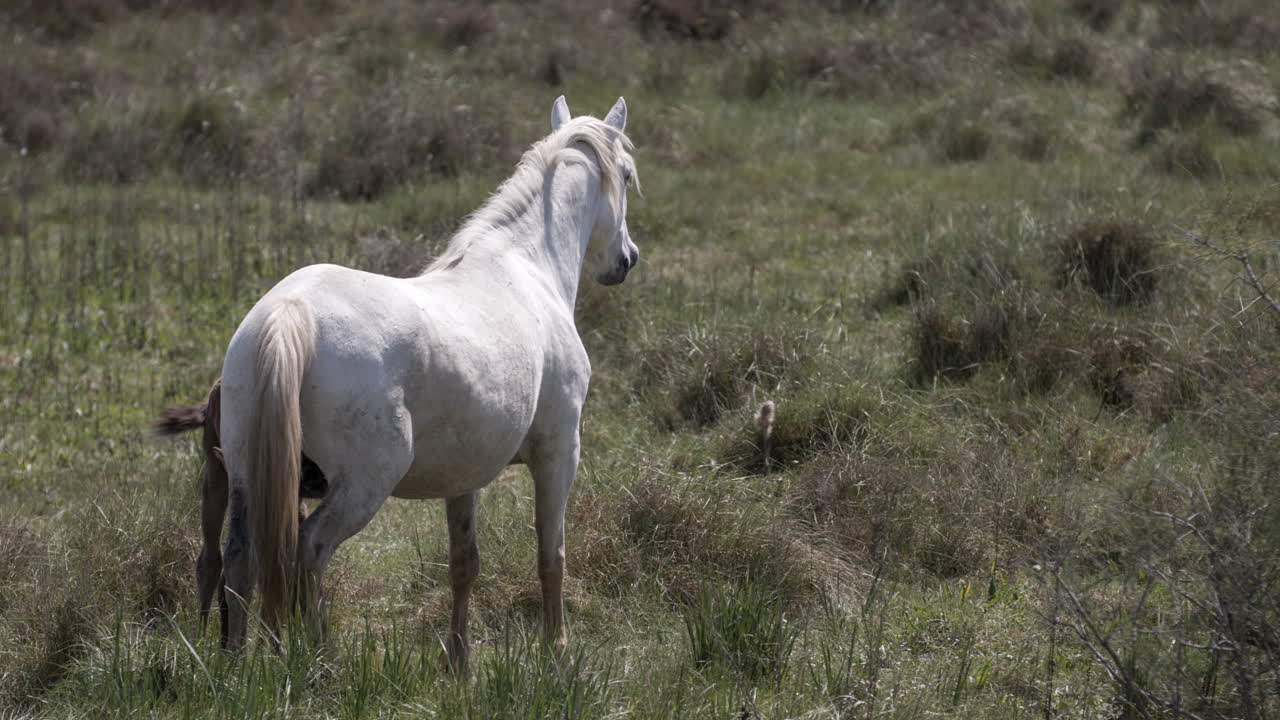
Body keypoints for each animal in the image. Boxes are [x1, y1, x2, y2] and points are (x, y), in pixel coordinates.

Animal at [217, 95, 639, 668]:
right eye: (627, 174)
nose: (627, 259)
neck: (527, 268)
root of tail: (290, 311)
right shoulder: (559, 453)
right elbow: (551, 555)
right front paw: (557, 650)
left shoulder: (464, 478)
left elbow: (464, 564)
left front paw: (459, 663)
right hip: (365, 484)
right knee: (311, 548)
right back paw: (319, 661)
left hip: (245, 477)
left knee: (241, 560)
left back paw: (234, 666)